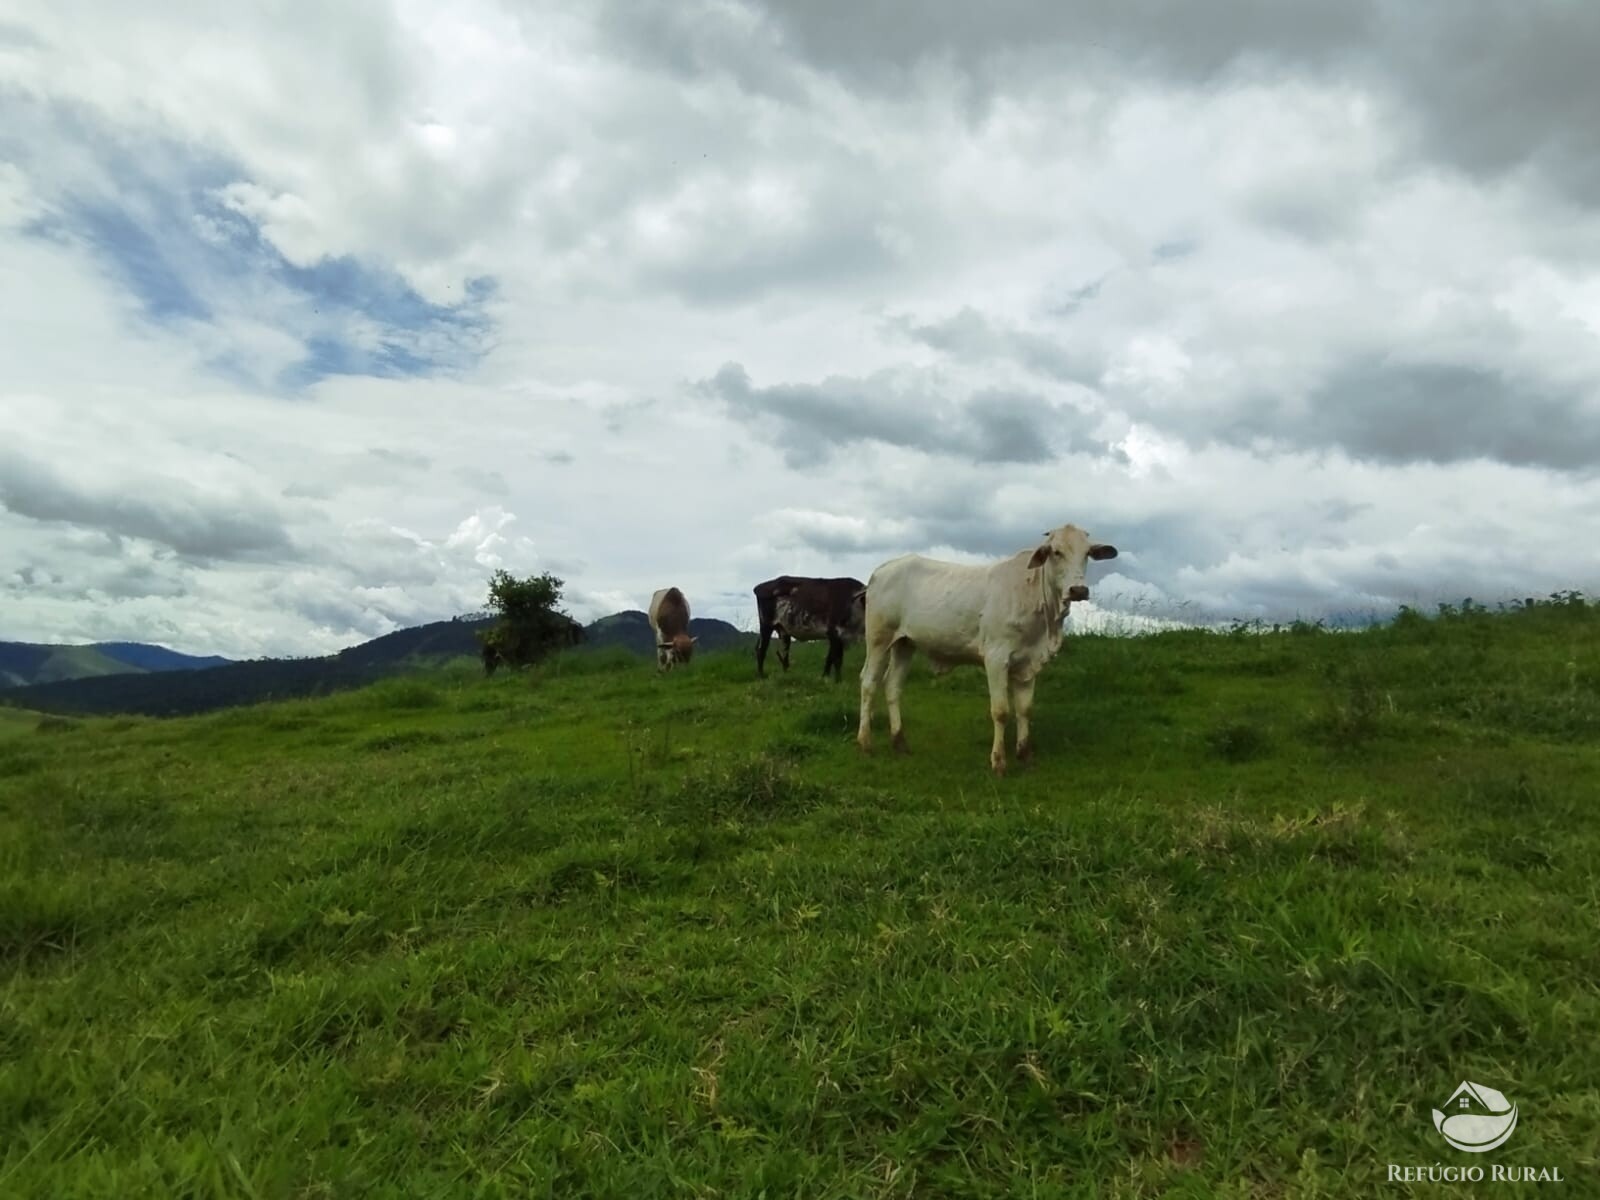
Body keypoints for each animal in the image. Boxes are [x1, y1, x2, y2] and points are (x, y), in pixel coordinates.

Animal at [857, 528, 1120, 780]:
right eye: (1056, 552)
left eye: (1087, 553)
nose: (1078, 589)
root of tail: (882, 569)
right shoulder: (996, 658)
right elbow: (1001, 711)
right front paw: (999, 762)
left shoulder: (1028, 662)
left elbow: (1025, 709)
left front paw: (1025, 756)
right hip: (878, 639)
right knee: (869, 683)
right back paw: (865, 743)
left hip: (904, 644)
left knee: (893, 686)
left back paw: (900, 743)